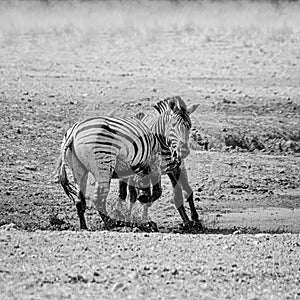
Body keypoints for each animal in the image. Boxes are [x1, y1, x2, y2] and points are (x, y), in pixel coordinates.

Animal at [116, 96, 203, 230]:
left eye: (189, 125)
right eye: (173, 125)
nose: (183, 151)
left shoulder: (176, 169)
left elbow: (183, 192)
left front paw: (191, 220)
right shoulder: (153, 171)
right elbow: (151, 194)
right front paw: (145, 219)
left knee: (133, 194)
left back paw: (130, 216)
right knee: (124, 193)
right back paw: (123, 217)